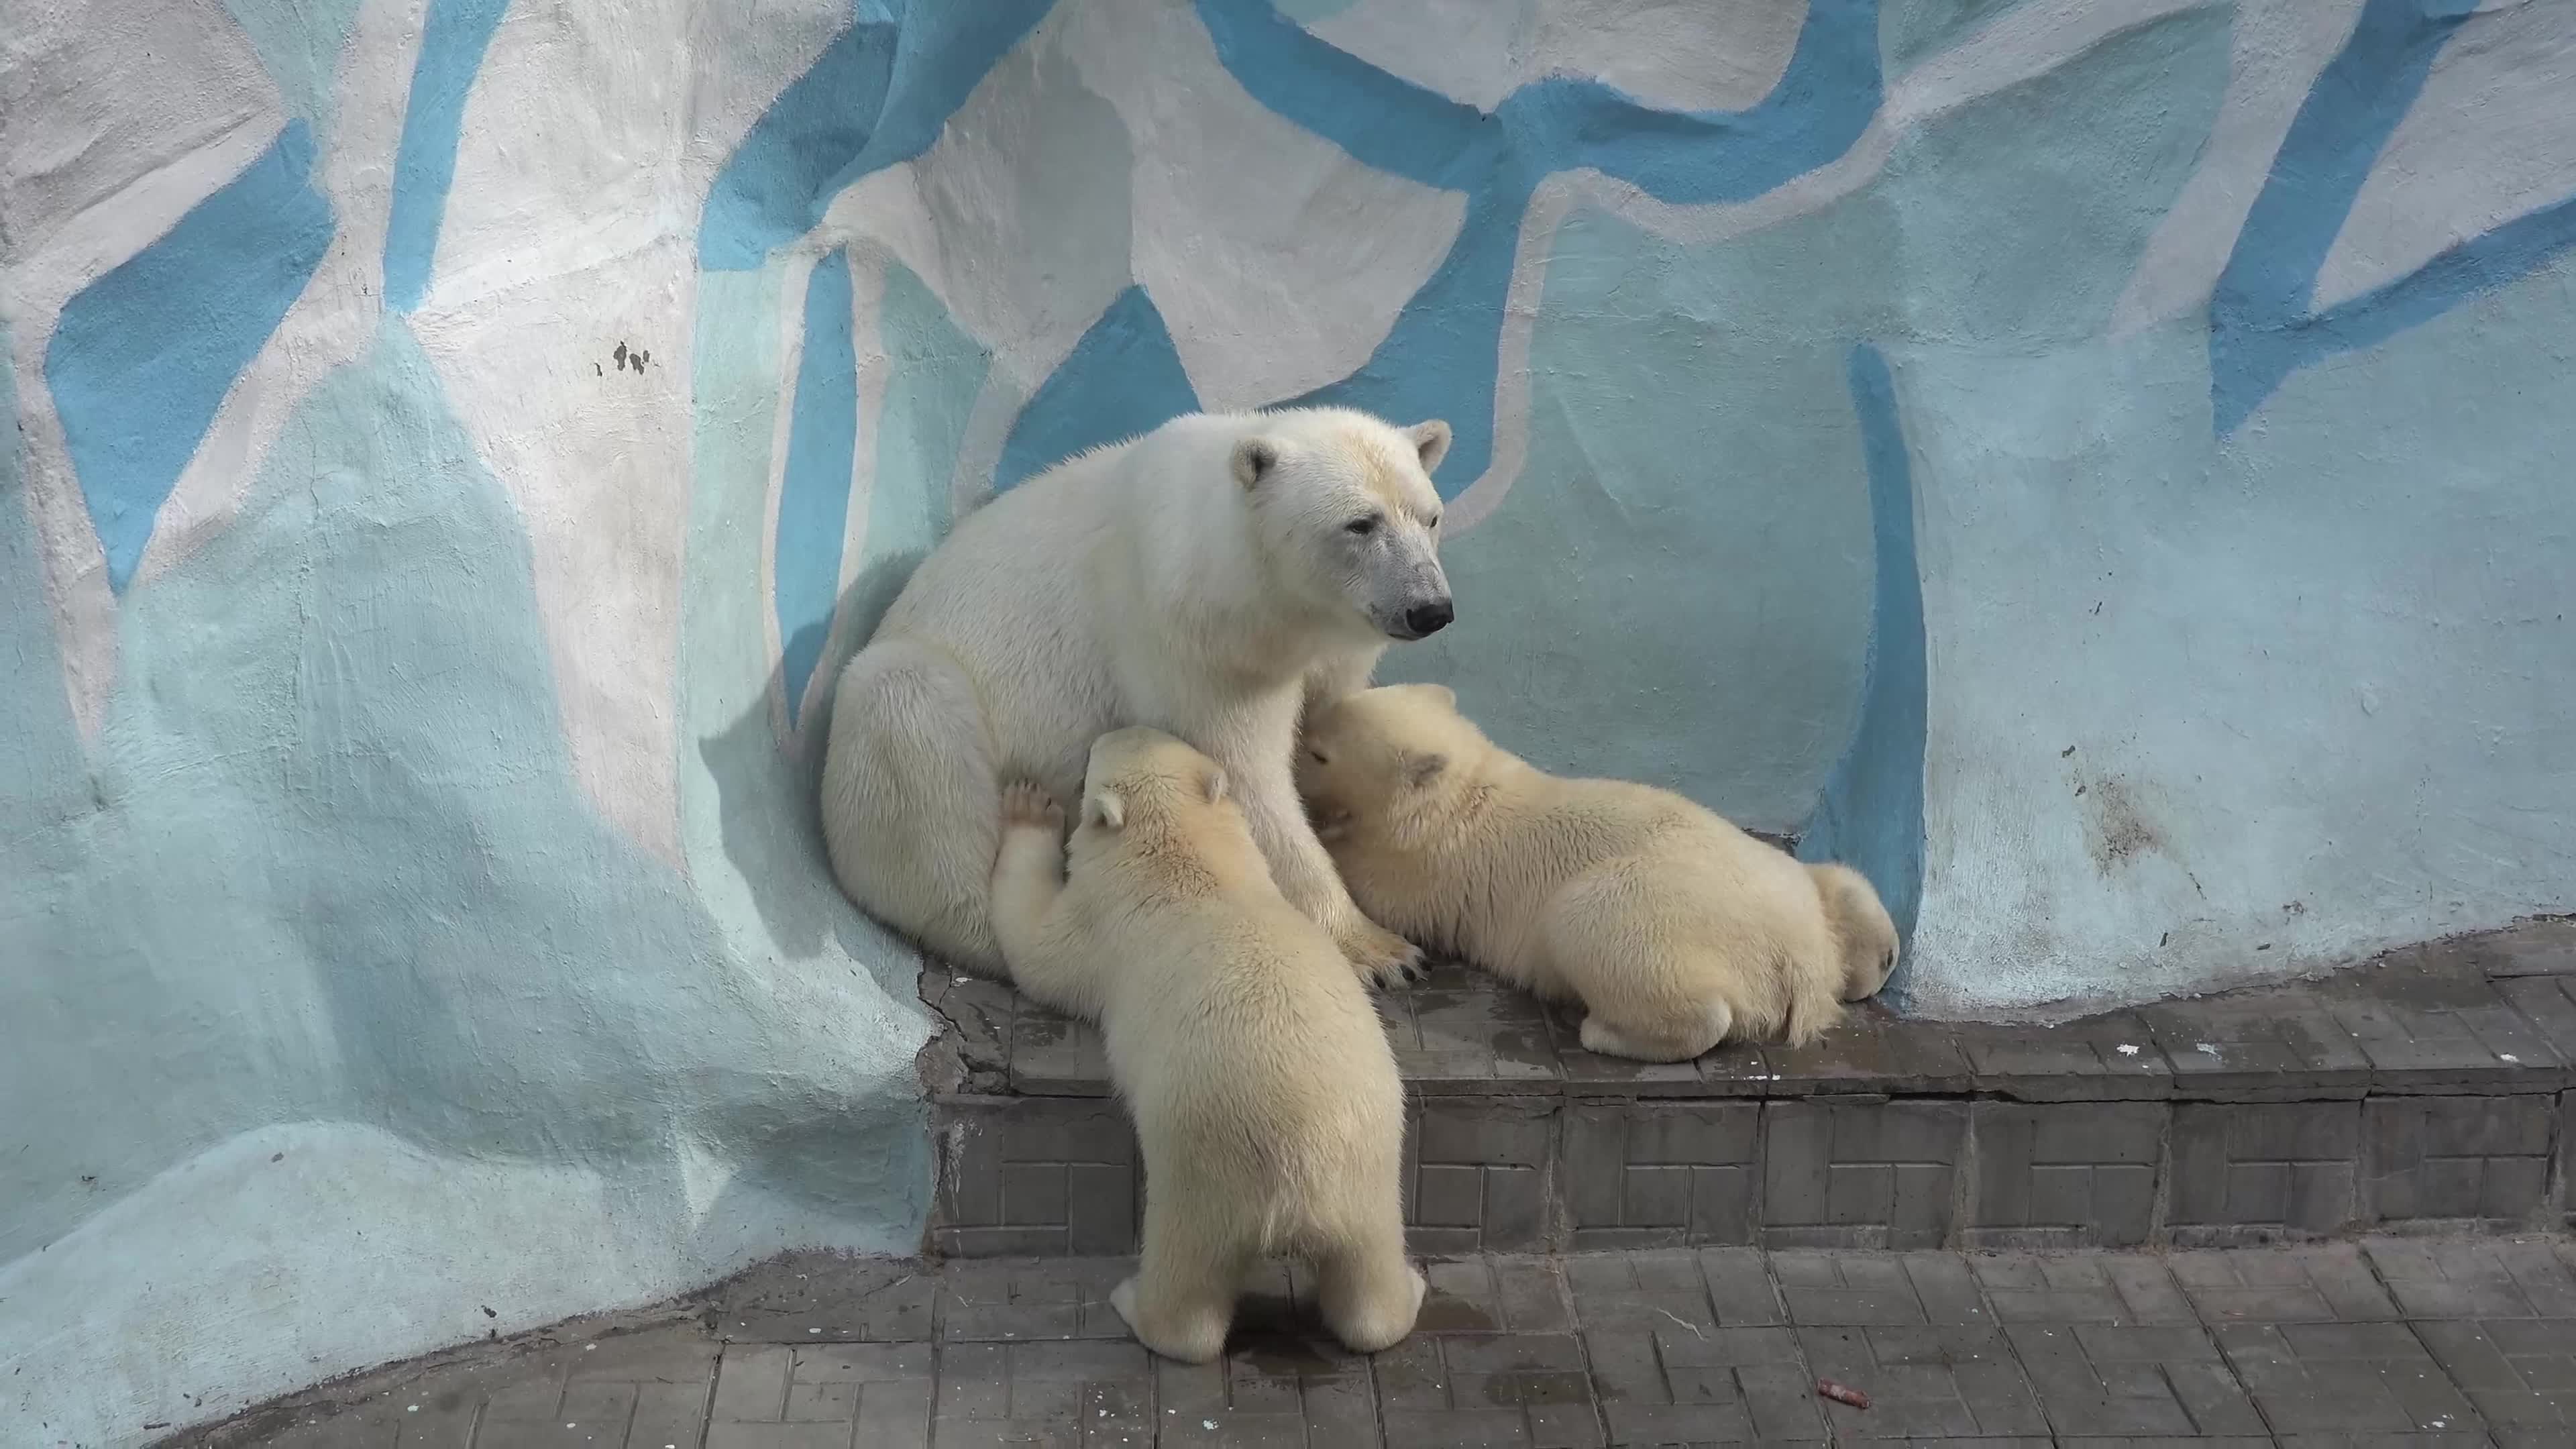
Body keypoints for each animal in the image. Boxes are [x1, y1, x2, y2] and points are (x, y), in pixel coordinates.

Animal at [819, 412, 1452, 985]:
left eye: (1431, 517)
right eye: (1360, 524)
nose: (1431, 609)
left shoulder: (1330, 644)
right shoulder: (1192, 640)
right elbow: (1248, 777)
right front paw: (1383, 951)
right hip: (906, 708)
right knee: (906, 705)